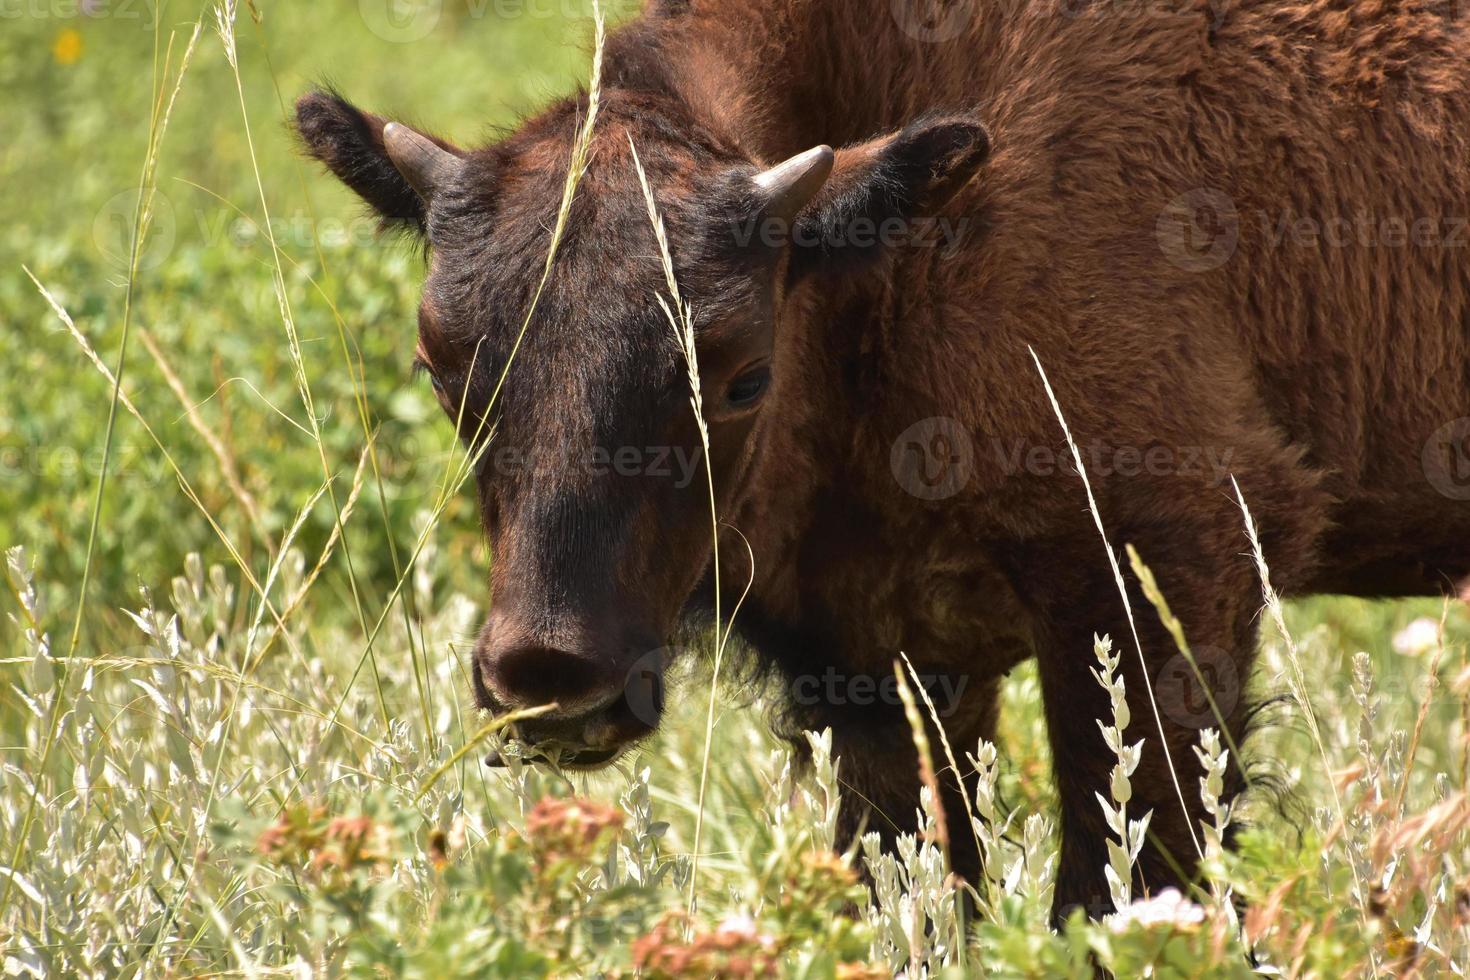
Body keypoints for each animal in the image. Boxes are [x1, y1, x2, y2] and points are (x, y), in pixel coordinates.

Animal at [295, 0, 1470, 922]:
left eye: (742, 374)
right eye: (438, 362)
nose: (548, 677)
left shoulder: (1166, 575)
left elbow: (1122, 883)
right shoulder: (878, 666)